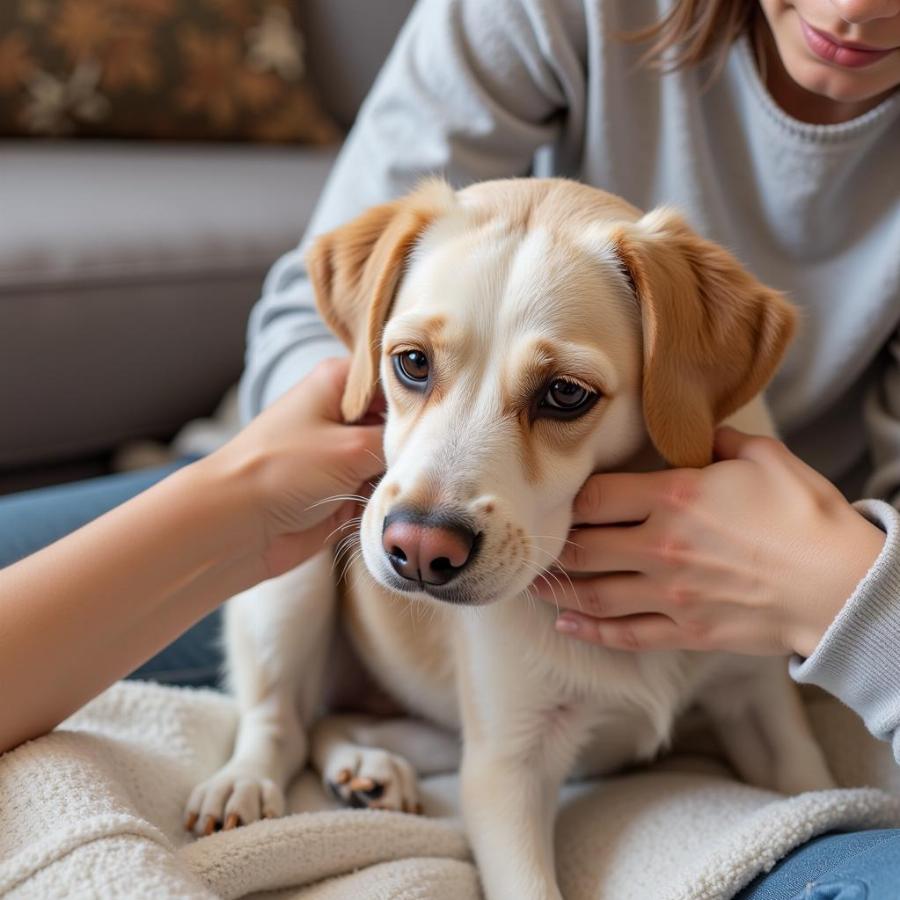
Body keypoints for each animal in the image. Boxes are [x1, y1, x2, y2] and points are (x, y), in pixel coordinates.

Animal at [185, 176, 836, 900]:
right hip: (292, 580)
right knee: (281, 721)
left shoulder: (762, 707)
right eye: (411, 363)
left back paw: (366, 764)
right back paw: (247, 782)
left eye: (565, 393)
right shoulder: (505, 769)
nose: (418, 550)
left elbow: (821, 790)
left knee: (333, 720)